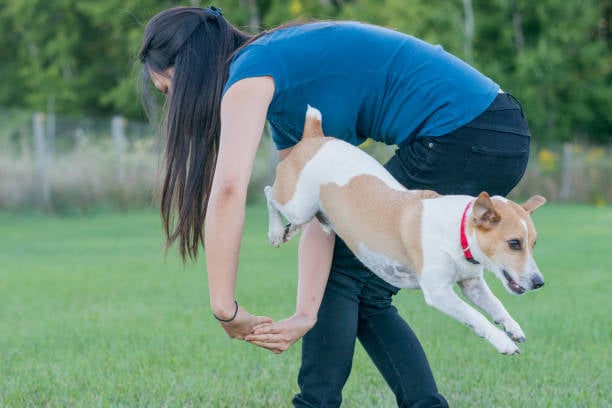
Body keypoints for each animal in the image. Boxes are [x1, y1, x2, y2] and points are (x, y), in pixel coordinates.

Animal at [266, 105, 548, 354]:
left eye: (534, 243)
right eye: (514, 243)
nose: (539, 282)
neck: (457, 232)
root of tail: (315, 137)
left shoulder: (472, 283)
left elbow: (496, 304)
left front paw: (512, 327)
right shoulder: (438, 292)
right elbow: (475, 316)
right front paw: (503, 342)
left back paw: (297, 229)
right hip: (297, 203)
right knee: (270, 193)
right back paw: (276, 231)